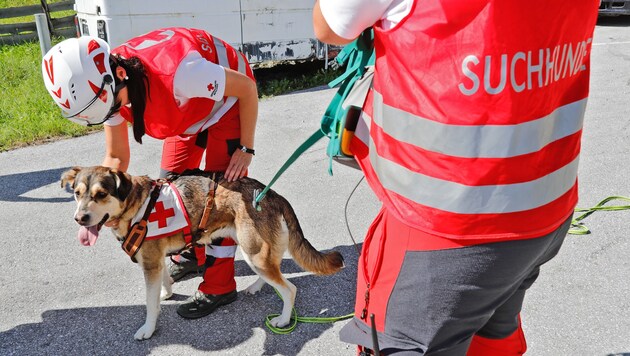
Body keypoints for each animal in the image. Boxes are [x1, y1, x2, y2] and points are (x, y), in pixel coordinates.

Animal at [60, 166, 346, 340]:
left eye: (101, 194)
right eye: (77, 193)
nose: (79, 218)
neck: (136, 205)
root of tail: (272, 194)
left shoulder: (150, 264)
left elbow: (150, 305)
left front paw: (148, 329)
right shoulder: (156, 261)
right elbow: (164, 282)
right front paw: (166, 293)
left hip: (254, 253)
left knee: (289, 289)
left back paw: (284, 319)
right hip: (254, 252)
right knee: (273, 274)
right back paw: (256, 287)